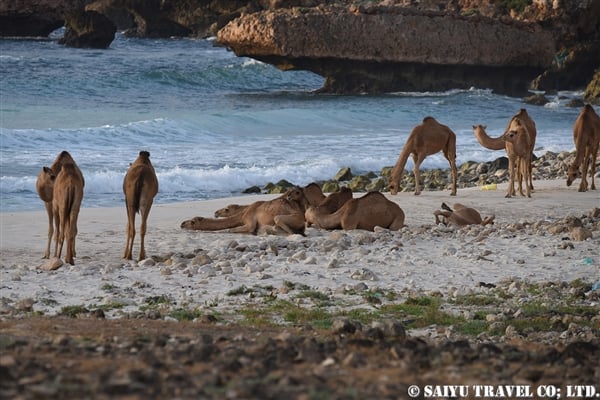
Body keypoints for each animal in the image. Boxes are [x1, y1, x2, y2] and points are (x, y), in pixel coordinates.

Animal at [180, 187, 308, 236]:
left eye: (192, 221)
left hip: (292, 218)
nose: (182, 224)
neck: (242, 214)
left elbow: (232, 229)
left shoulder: (250, 221)